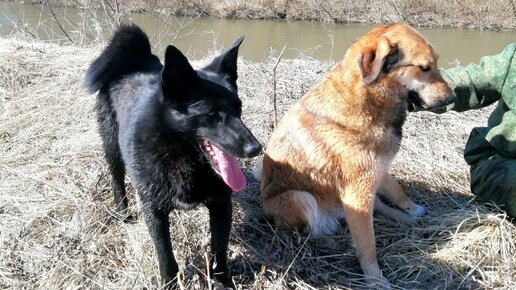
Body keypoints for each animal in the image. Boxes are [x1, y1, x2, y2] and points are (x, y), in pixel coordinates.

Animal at [86, 24, 262, 288]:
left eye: (238, 108)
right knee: (117, 179)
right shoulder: (154, 211)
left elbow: (219, 252)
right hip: (111, 146)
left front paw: (223, 282)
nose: (256, 148)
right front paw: (169, 283)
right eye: (212, 113)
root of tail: (139, 57)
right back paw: (123, 212)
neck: (184, 157)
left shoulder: (222, 204)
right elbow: (166, 257)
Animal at [254, 23, 456, 288]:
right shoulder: (358, 191)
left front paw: (411, 209)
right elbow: (367, 244)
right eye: (424, 68)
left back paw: (405, 218)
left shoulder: (377, 170)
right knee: (309, 232)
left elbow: (396, 190)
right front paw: (375, 279)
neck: (368, 99)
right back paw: (328, 240)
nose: (453, 99)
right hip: (301, 198)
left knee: (378, 206)